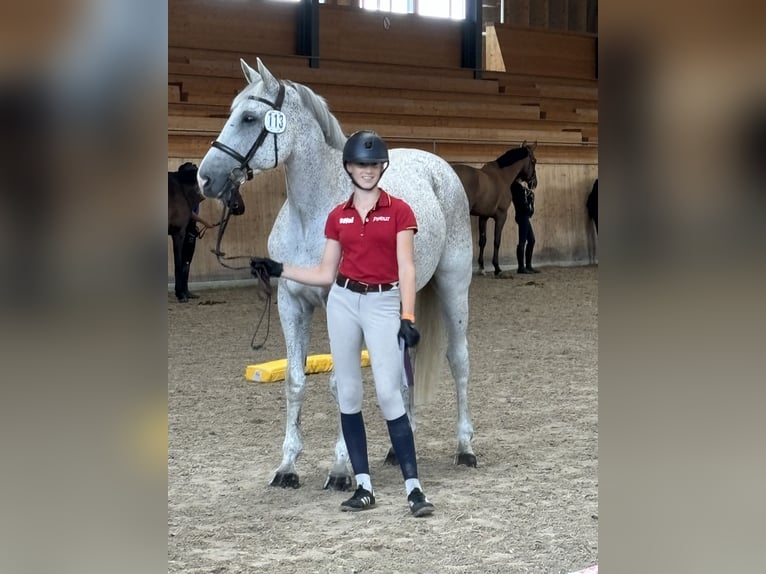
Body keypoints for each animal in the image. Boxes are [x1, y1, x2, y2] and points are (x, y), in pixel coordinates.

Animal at [456, 145, 540, 278]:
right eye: (534, 161)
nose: (534, 183)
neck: (502, 175)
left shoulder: (483, 216)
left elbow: (482, 241)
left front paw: (481, 268)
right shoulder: (501, 215)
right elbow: (497, 241)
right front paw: (497, 268)